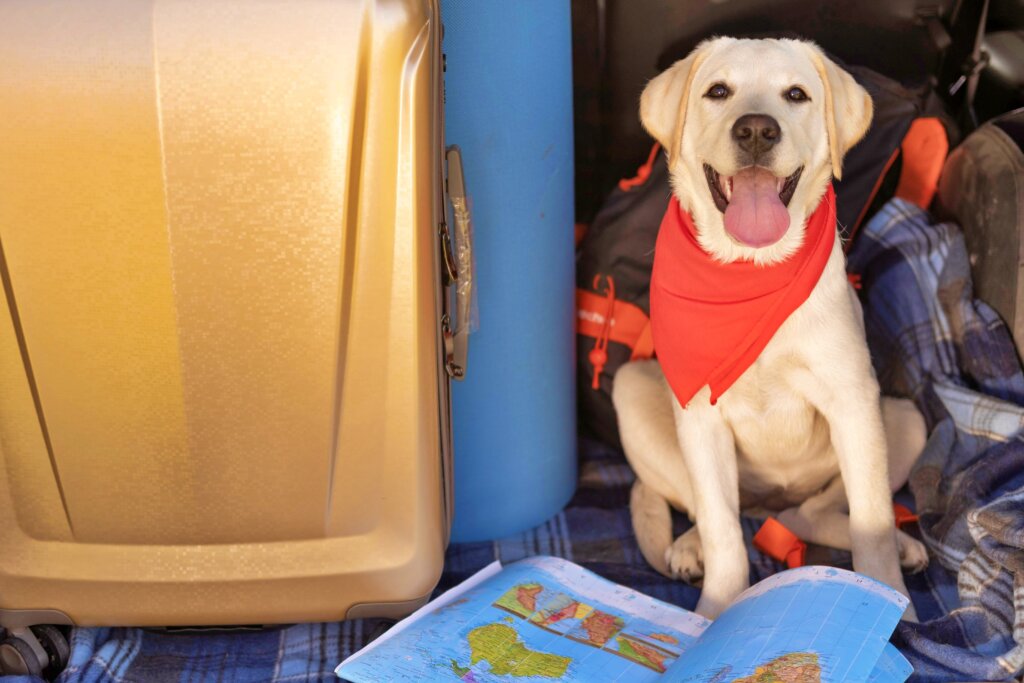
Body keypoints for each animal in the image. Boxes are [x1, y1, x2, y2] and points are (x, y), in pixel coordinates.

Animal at [614, 40, 929, 622]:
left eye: (796, 95)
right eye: (718, 91)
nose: (757, 130)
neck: (751, 268)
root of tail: (771, 504)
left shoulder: (853, 402)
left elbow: (871, 524)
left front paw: (893, 607)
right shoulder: (701, 416)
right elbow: (722, 532)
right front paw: (712, 615)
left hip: (904, 421)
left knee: (812, 514)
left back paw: (901, 545)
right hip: (634, 391)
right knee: (715, 513)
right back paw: (688, 547)